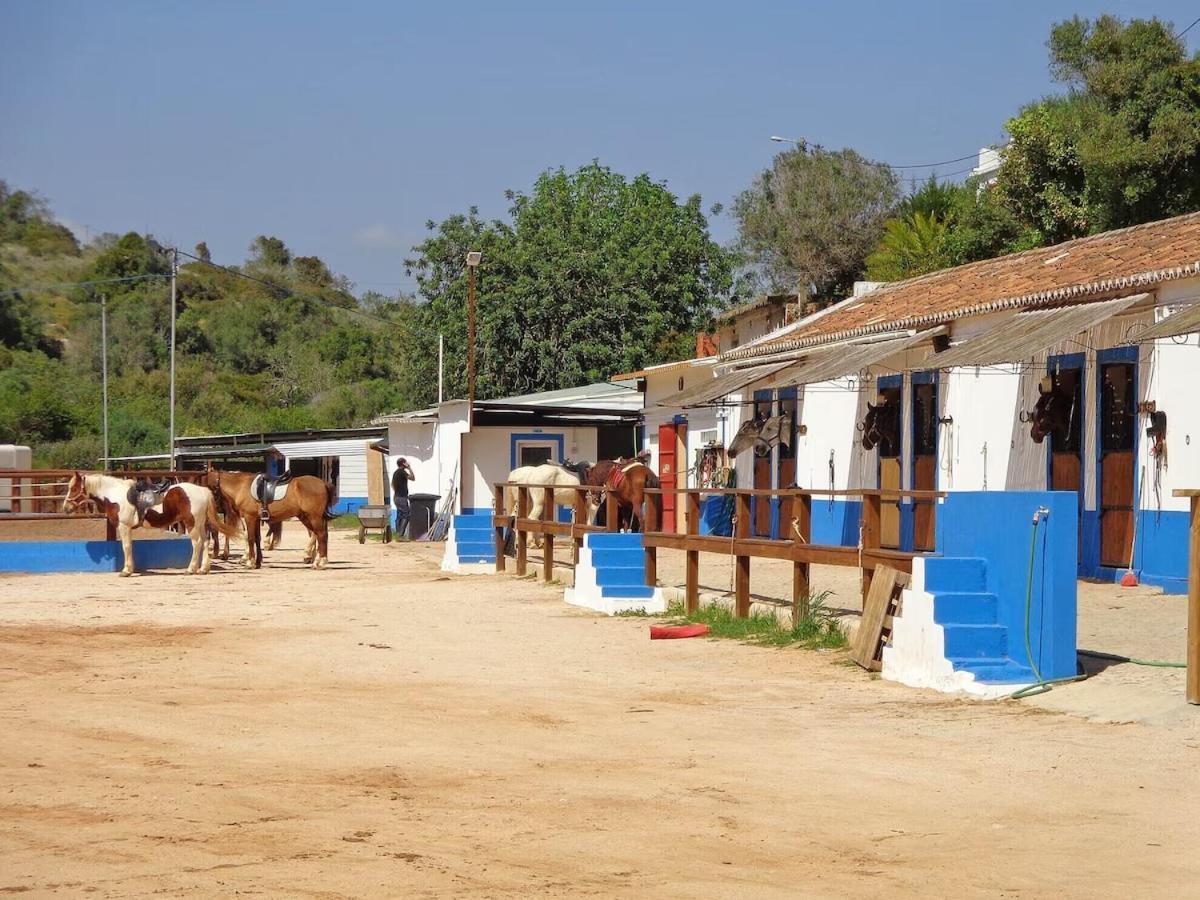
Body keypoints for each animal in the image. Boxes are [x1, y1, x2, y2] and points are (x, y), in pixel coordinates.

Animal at [201, 472, 333, 571]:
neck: (241, 487)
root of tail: (323, 483)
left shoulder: (249, 517)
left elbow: (250, 538)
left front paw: (250, 562)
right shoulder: (256, 519)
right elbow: (257, 539)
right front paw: (258, 562)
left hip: (314, 517)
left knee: (322, 535)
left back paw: (320, 562)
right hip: (306, 517)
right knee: (317, 535)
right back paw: (315, 560)